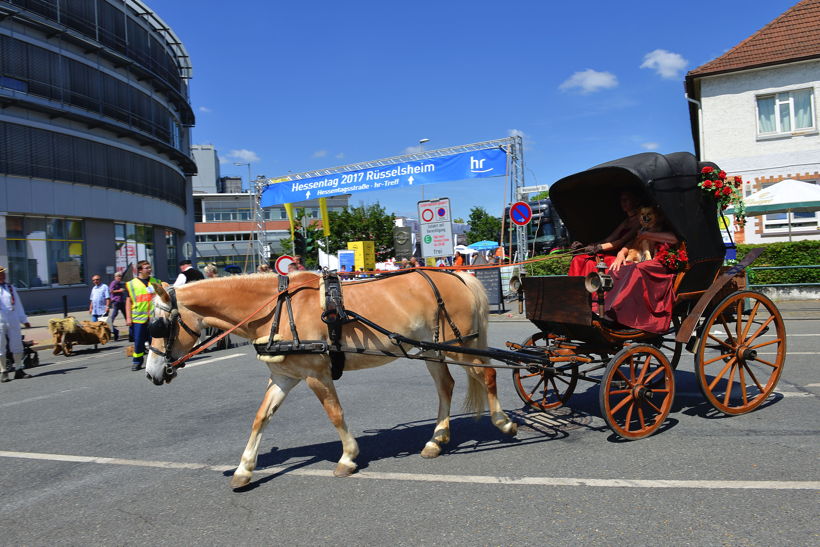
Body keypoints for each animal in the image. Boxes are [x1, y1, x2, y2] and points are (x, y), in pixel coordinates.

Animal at [146, 270, 520, 488]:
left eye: (158, 326)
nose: (151, 372)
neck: (276, 308)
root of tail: (459, 276)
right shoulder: (284, 376)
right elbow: (260, 418)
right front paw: (244, 469)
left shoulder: (317, 374)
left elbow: (335, 414)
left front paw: (348, 458)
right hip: (430, 349)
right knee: (445, 386)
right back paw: (436, 440)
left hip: (460, 347)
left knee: (487, 373)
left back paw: (503, 423)